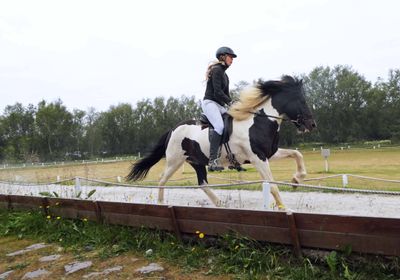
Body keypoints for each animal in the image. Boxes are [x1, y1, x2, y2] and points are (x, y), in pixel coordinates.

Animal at [127, 75, 316, 209]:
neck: (260, 121)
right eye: (301, 101)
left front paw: (297, 179)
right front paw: (284, 208)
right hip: (175, 160)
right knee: (162, 180)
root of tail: (173, 129)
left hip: (197, 162)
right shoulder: (258, 158)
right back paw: (161, 205)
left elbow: (297, 154)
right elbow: (273, 185)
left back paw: (220, 204)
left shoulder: (270, 154)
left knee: (202, 183)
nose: (311, 125)